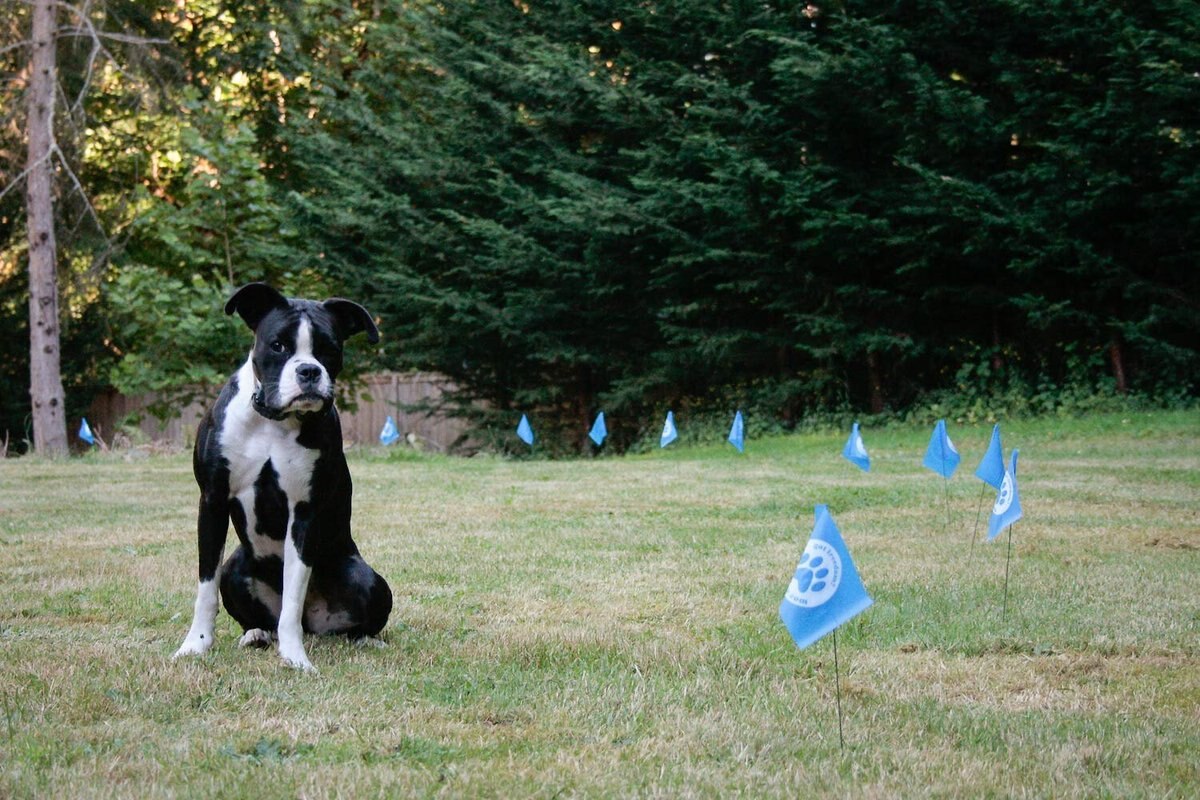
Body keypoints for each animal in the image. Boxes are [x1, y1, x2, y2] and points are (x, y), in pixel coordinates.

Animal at [174, 284, 391, 671]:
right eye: (278, 345)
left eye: (329, 349)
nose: (309, 371)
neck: (272, 422)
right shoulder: (212, 502)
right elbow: (205, 587)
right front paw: (195, 645)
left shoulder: (303, 512)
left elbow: (292, 598)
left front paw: (295, 657)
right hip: (235, 569)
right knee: (256, 615)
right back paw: (256, 634)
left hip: (369, 580)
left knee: (350, 622)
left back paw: (365, 640)